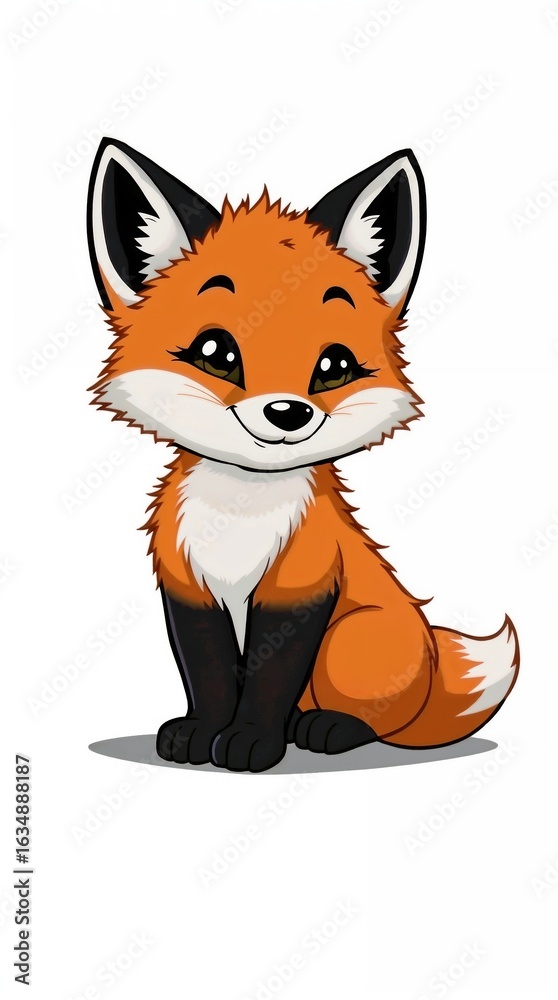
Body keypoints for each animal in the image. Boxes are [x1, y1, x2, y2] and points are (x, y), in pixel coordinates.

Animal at [87, 137, 519, 773]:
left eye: (333, 366)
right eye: (216, 354)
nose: (288, 413)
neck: (241, 514)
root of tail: (434, 660)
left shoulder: (301, 586)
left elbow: (269, 679)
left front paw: (250, 741)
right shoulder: (188, 586)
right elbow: (209, 674)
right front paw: (202, 734)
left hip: (352, 640)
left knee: (381, 721)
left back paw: (325, 727)